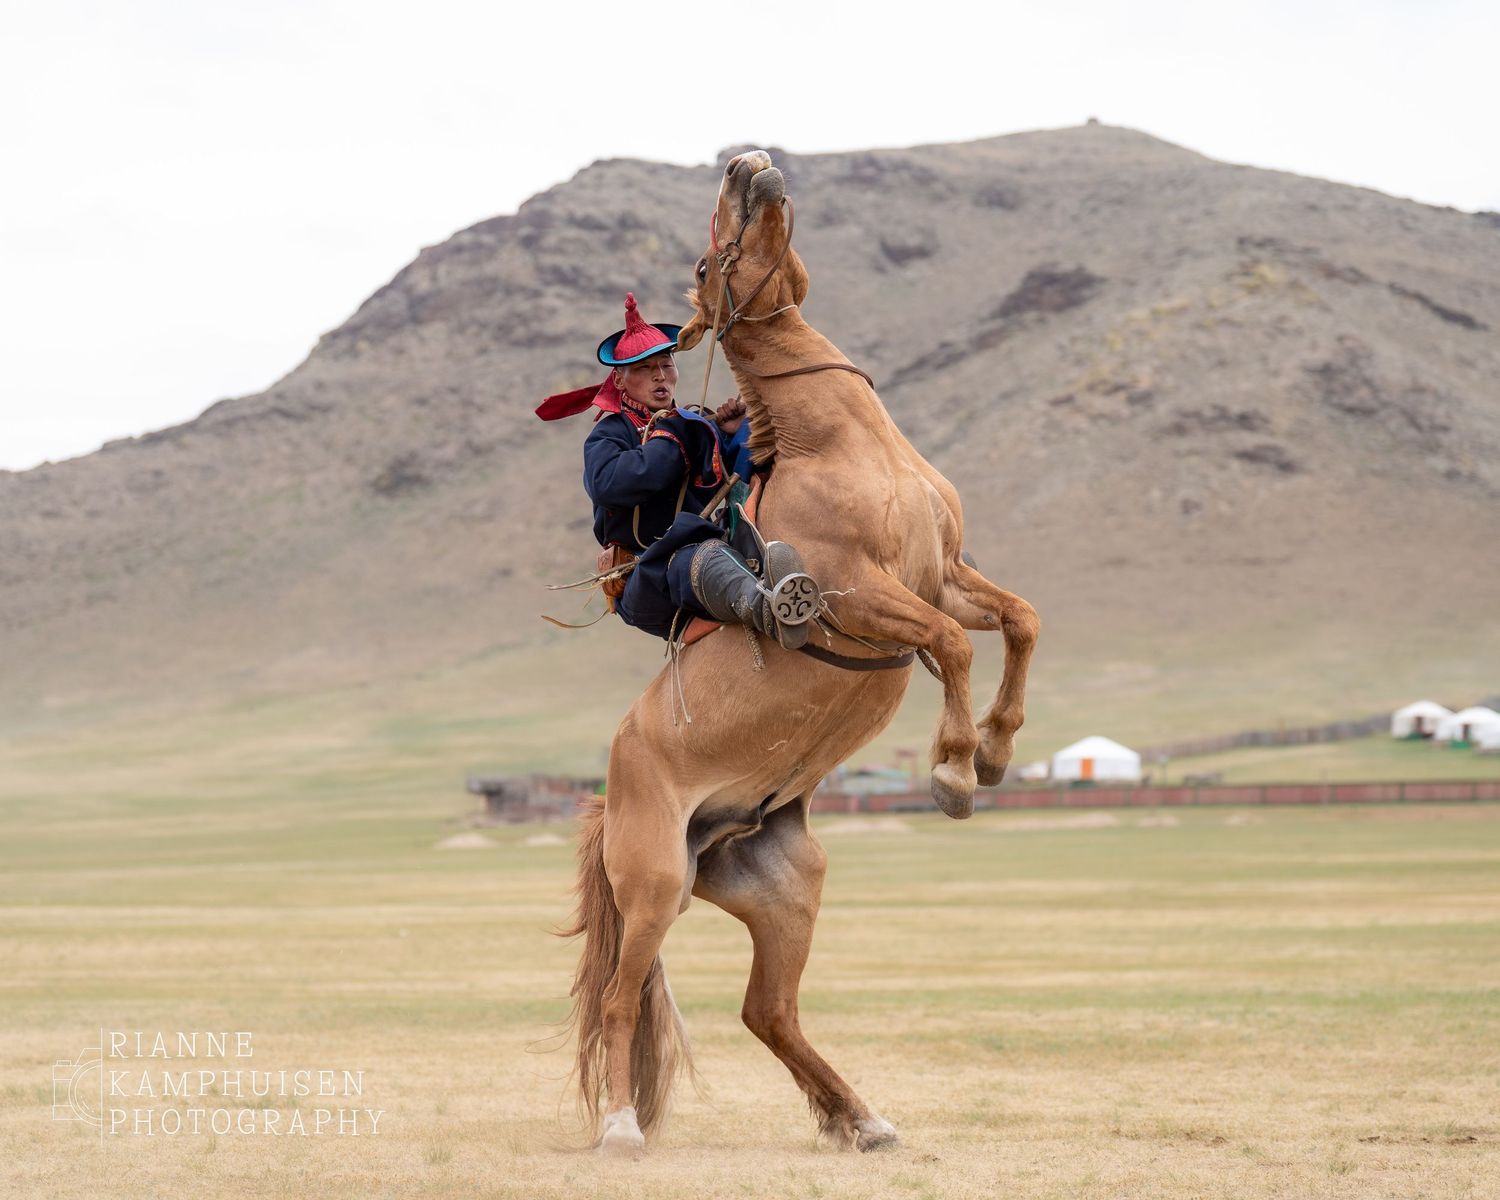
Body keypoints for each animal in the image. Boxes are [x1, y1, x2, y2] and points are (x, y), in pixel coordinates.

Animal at [564, 149, 1039, 1157]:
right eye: (706, 263)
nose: (749, 163)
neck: (842, 446)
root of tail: (613, 789)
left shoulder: (944, 575)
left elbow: (1018, 621)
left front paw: (996, 748)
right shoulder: (866, 596)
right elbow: (951, 645)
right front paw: (953, 771)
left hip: (785, 891)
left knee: (767, 1012)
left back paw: (861, 1119)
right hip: (654, 888)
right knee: (625, 997)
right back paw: (623, 1129)